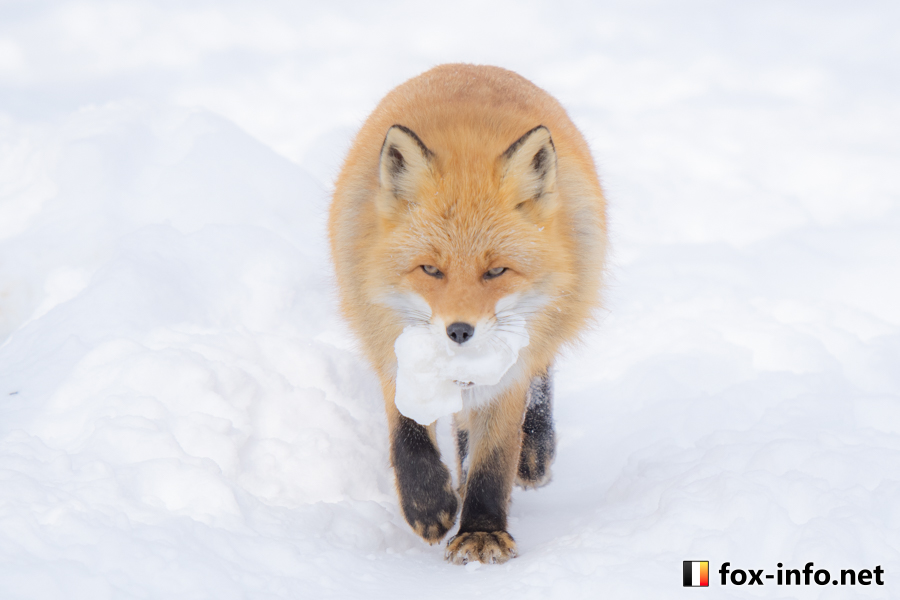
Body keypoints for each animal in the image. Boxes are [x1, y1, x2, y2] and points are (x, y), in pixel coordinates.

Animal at [328, 64, 607, 565]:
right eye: (431, 270)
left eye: (495, 271)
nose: (459, 331)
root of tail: (472, 66)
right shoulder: (389, 343)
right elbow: (408, 434)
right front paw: (428, 503)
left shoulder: (508, 374)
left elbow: (492, 459)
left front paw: (481, 529)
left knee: (539, 380)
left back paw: (534, 451)